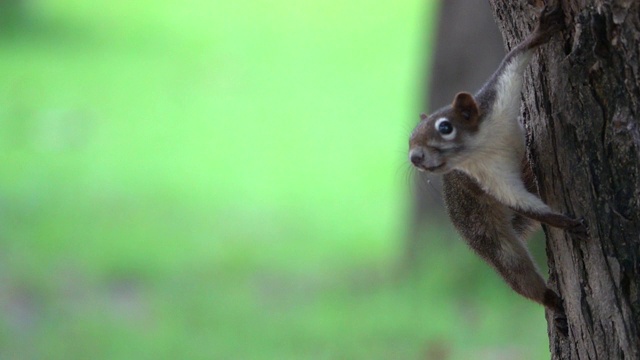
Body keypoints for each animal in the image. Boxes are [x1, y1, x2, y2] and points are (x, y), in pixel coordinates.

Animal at [408, 2, 588, 324]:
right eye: (411, 137)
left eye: (445, 127)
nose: (414, 158)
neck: (483, 145)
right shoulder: (489, 178)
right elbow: (518, 200)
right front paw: (566, 223)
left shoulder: (497, 100)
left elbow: (514, 60)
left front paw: (541, 31)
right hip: (490, 242)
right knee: (518, 274)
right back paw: (553, 303)